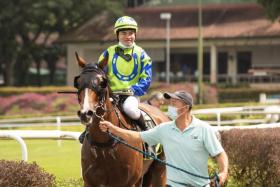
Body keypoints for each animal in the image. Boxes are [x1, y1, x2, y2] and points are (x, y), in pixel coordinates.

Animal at [74, 53, 170, 187]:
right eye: (78, 82)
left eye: (102, 83)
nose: (86, 113)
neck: (104, 144)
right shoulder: (90, 182)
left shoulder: (129, 182)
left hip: (159, 172)